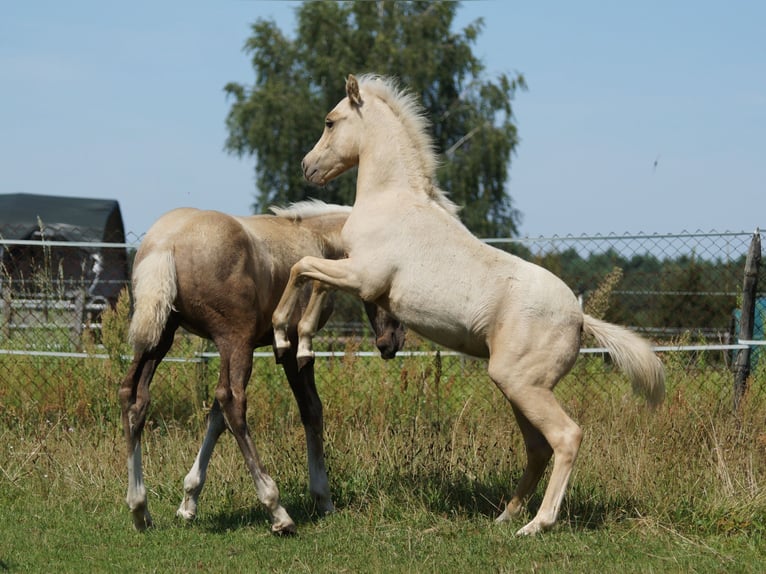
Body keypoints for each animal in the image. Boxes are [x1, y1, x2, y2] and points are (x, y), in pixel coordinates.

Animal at [274, 74, 664, 536]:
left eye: (330, 122)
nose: (307, 167)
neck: (393, 202)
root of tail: (580, 317)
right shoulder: (355, 274)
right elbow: (314, 278)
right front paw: (302, 343)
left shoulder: (364, 277)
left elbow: (302, 267)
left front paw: (284, 335)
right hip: (517, 387)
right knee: (538, 448)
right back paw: (506, 515)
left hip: (524, 385)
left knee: (566, 437)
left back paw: (537, 524)